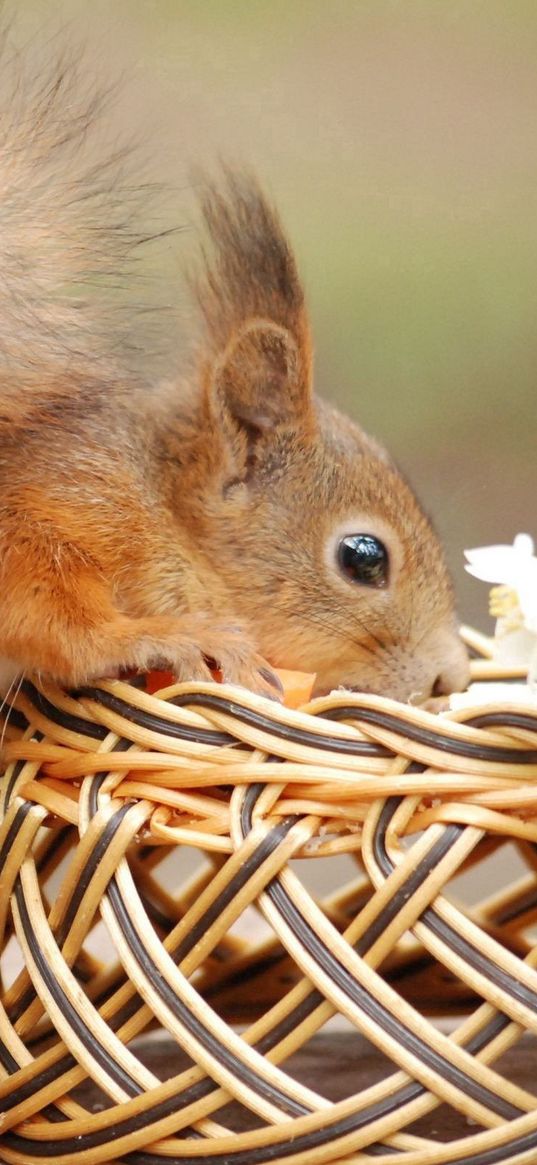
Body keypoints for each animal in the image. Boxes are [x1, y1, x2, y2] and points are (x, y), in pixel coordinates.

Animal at [0, 47, 468, 699]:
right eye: (363, 557)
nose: (453, 676)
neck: (160, 507)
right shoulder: (57, 507)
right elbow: (57, 622)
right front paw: (164, 636)